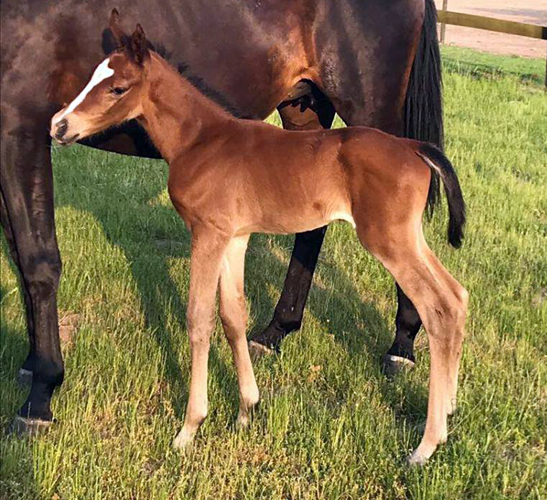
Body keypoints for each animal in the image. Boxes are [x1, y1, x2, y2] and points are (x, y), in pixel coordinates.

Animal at [0, 0, 444, 432]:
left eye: (117, 87)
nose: (60, 125)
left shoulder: (19, 126)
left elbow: (40, 263)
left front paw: (39, 397)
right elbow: (20, 256)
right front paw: (29, 365)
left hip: (371, 114)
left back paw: (402, 345)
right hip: (305, 112)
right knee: (312, 227)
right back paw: (275, 332)